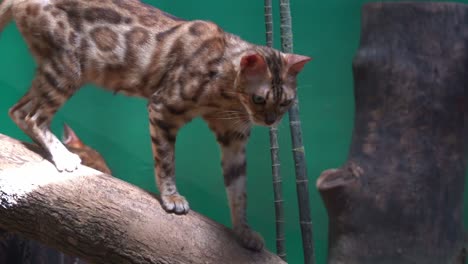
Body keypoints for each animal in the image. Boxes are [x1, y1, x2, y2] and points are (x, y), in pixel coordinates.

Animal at [0, 0, 314, 251]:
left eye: (286, 102)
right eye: (259, 98)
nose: (270, 121)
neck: (226, 96)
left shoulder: (234, 137)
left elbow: (239, 190)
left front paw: (244, 232)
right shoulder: (164, 108)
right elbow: (166, 161)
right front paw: (172, 197)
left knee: (18, 110)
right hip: (68, 69)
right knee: (32, 115)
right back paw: (64, 156)